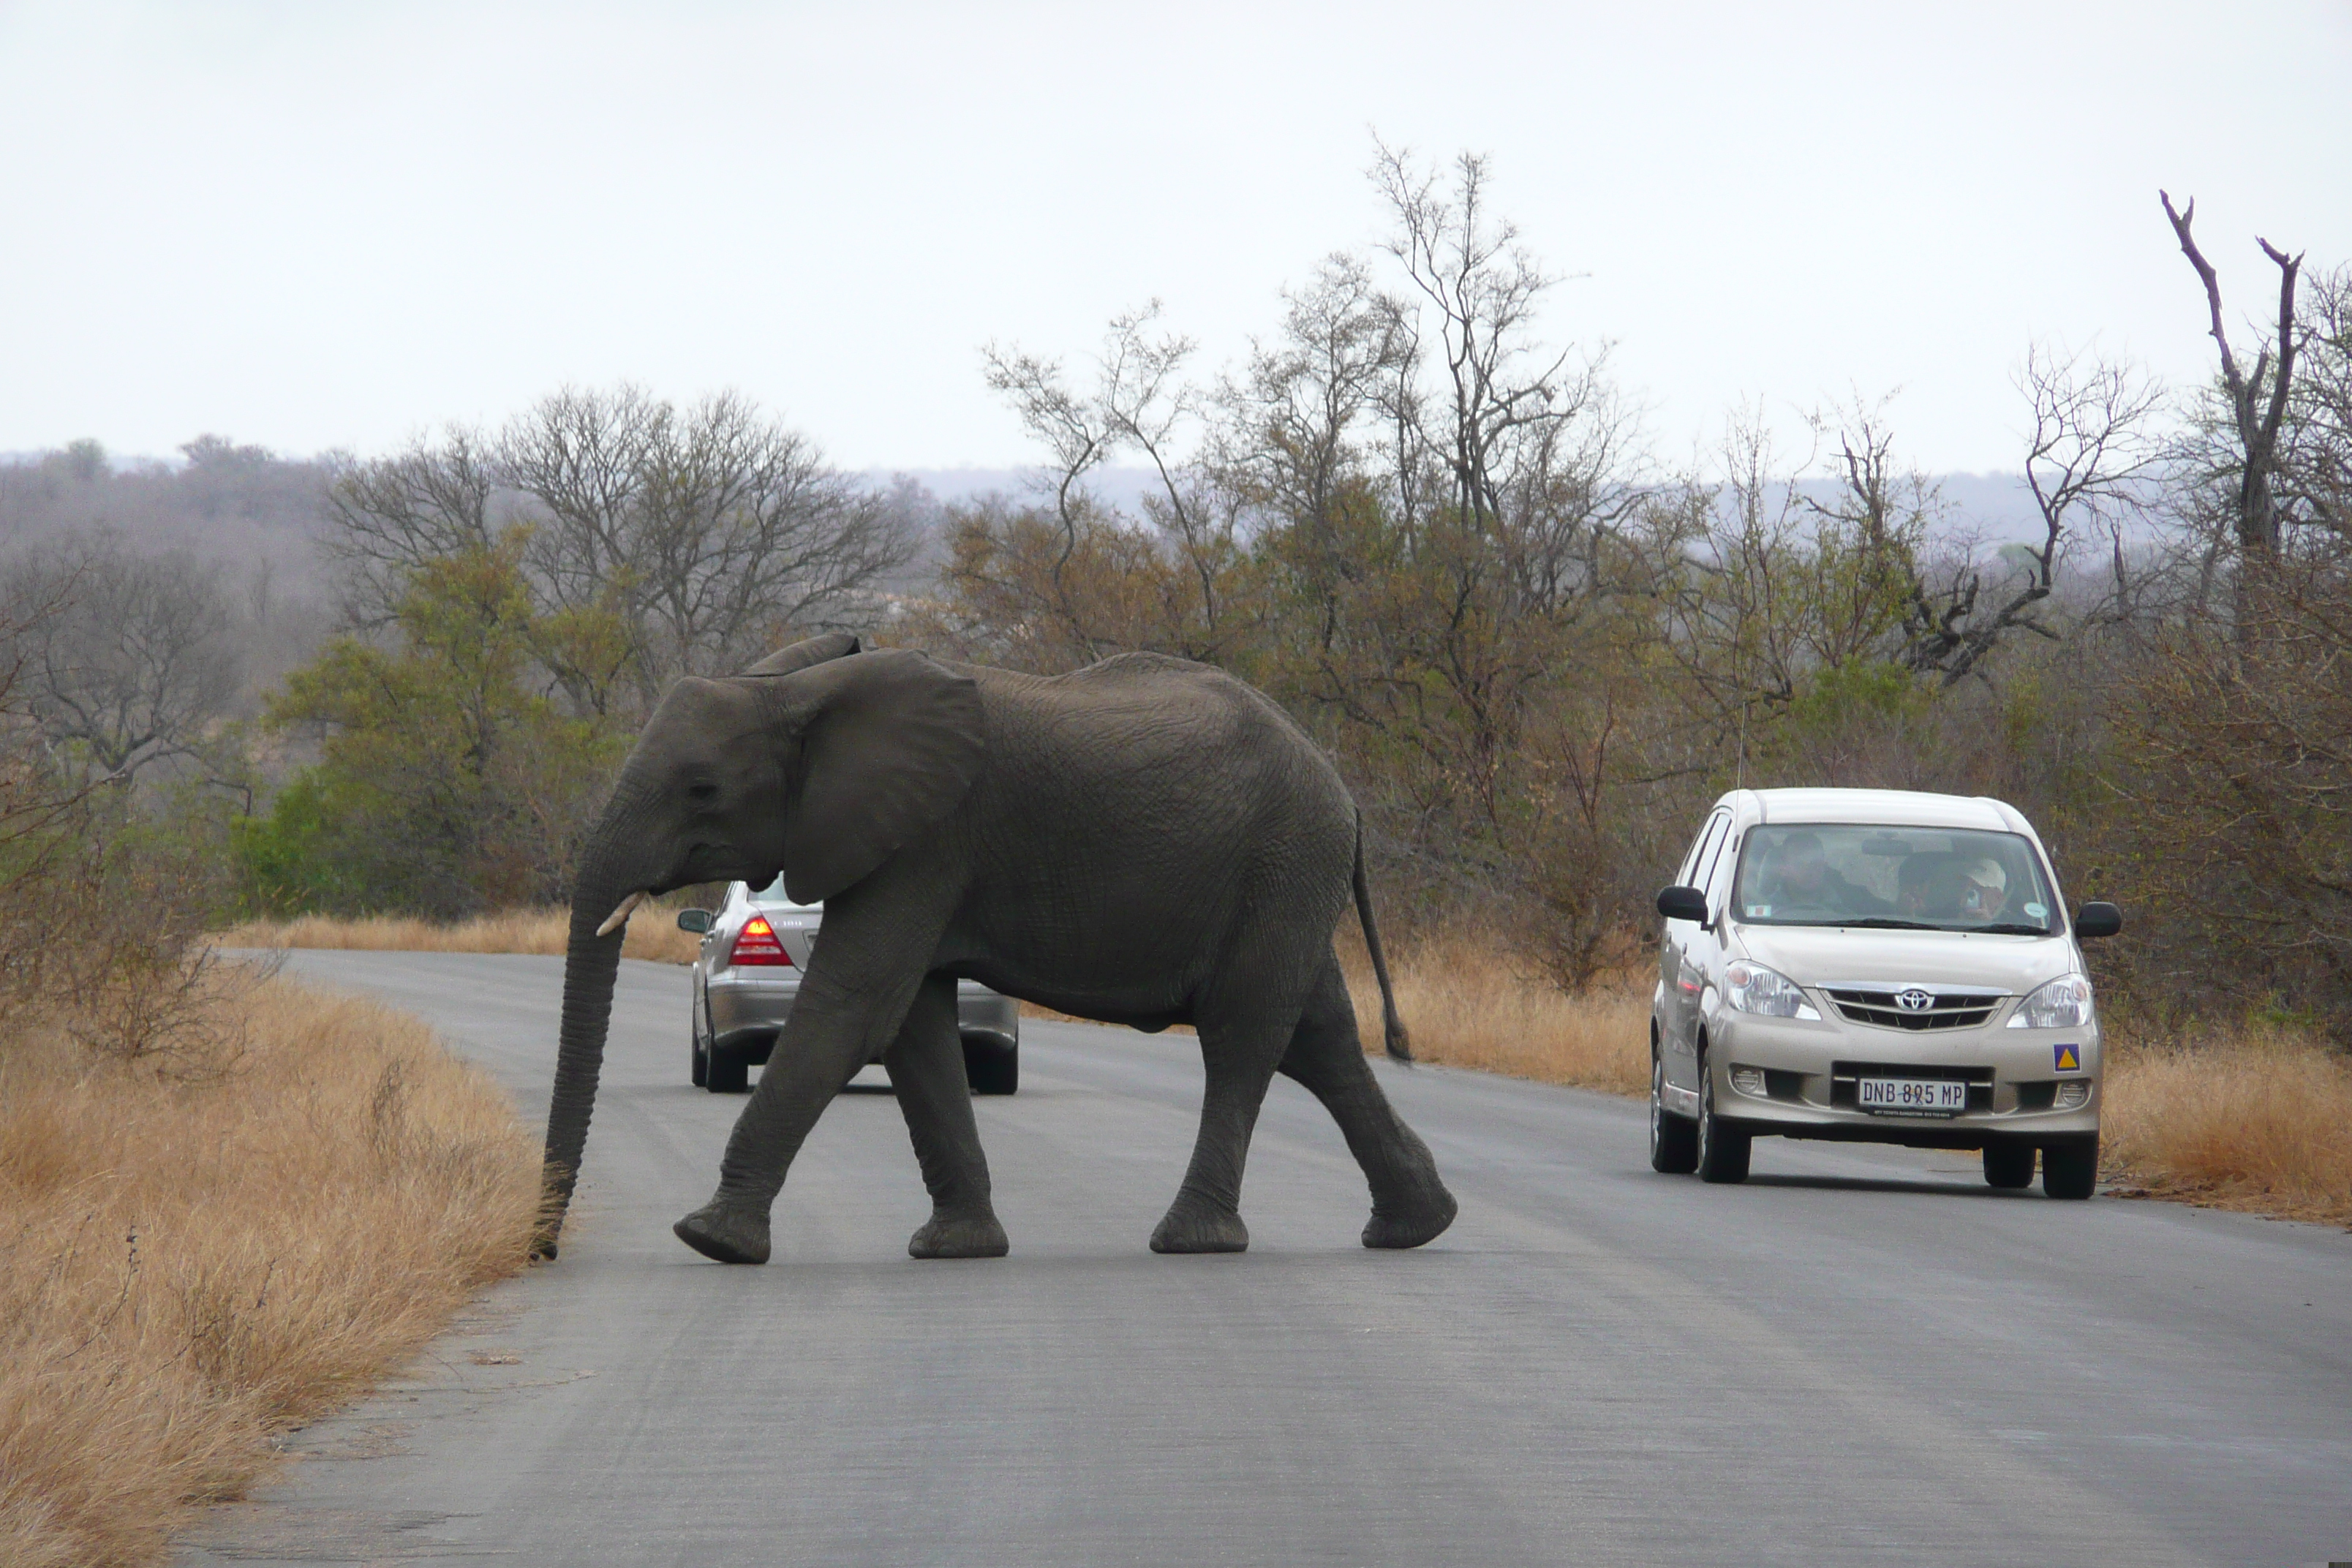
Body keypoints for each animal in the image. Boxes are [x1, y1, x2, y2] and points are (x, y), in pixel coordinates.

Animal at [538, 630, 1449, 1269]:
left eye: (702, 789)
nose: (542, 1250)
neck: (799, 693)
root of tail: (1345, 793)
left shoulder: (929, 839)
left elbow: (852, 1006)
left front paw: (710, 1239)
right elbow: (913, 1026)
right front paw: (954, 1248)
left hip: (1281, 861)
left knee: (1243, 1034)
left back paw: (1193, 1239)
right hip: (1285, 879)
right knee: (1318, 1037)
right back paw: (1416, 1225)